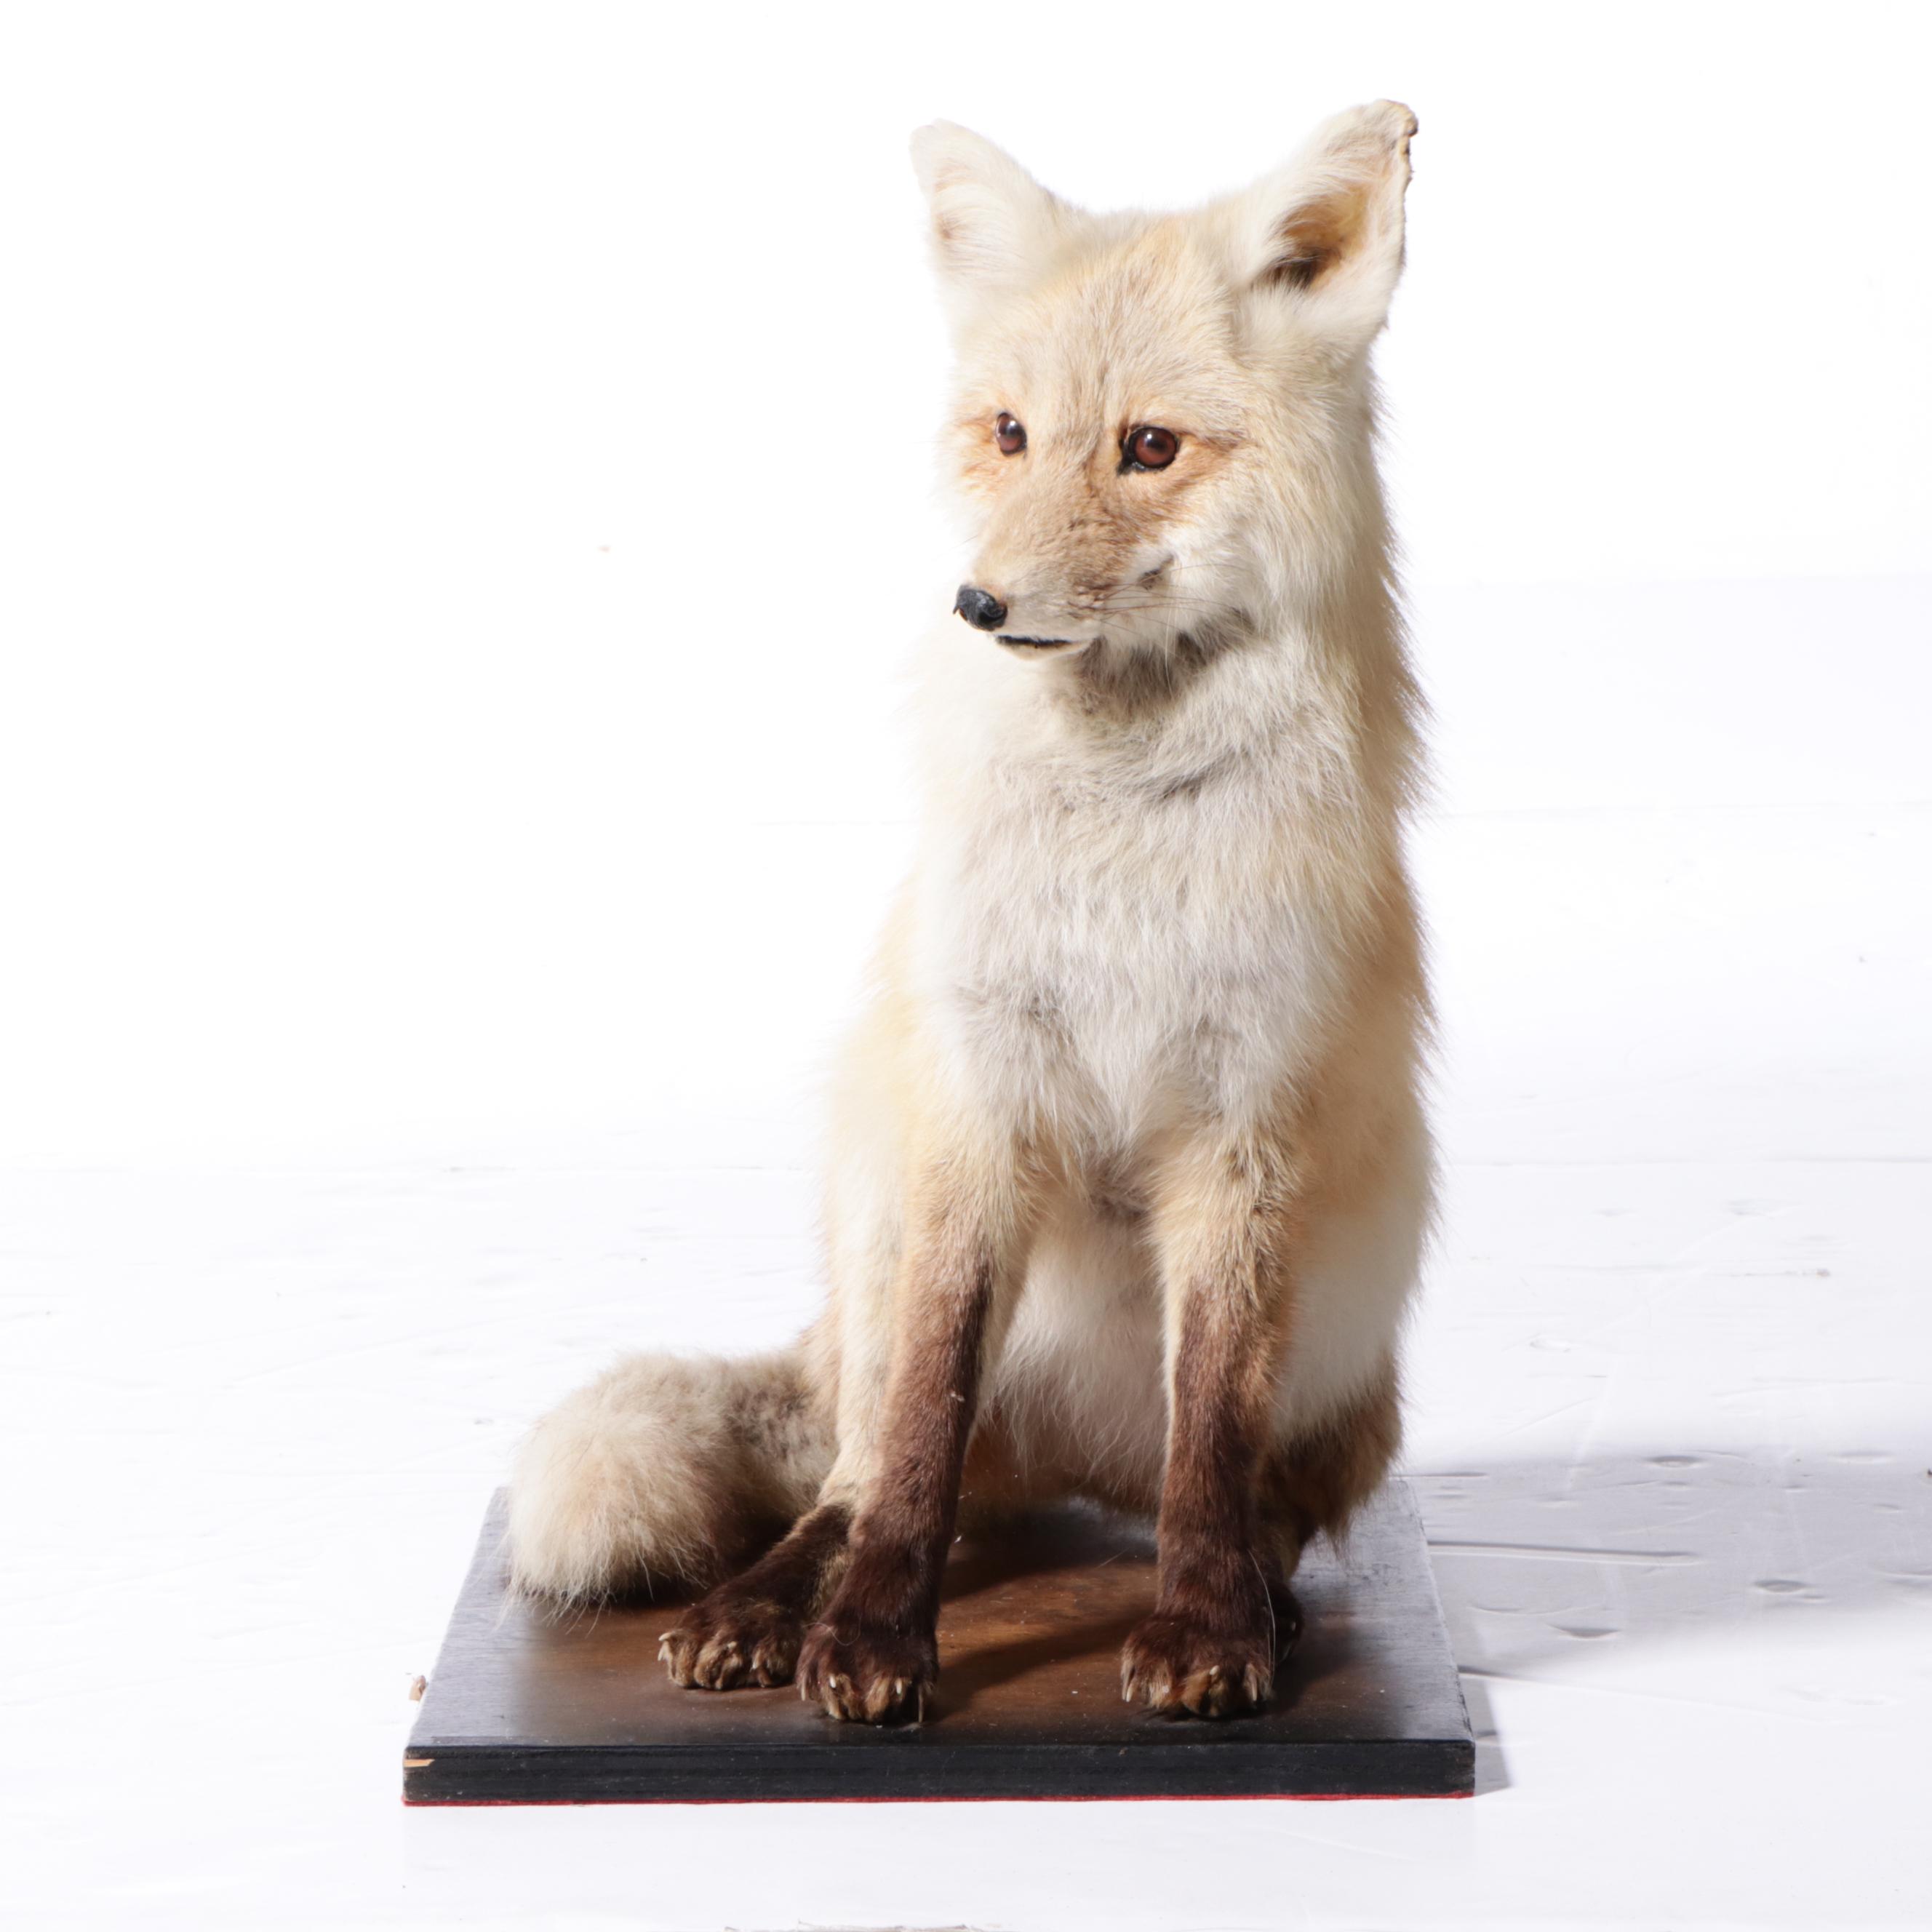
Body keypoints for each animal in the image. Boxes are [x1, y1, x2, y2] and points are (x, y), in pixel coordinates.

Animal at [507, 100, 1431, 1725]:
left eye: (1147, 447)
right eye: (1007, 435)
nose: (978, 605)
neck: (1120, 835)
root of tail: (1073, 1459)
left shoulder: (1245, 1123)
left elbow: (1213, 1429)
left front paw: (1209, 1630)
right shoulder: (978, 1094)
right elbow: (919, 1429)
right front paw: (870, 1635)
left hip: (1350, 1350)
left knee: (1238, 1495)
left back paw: (1266, 1596)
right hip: (875, 1204)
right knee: (863, 1460)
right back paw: (764, 1604)